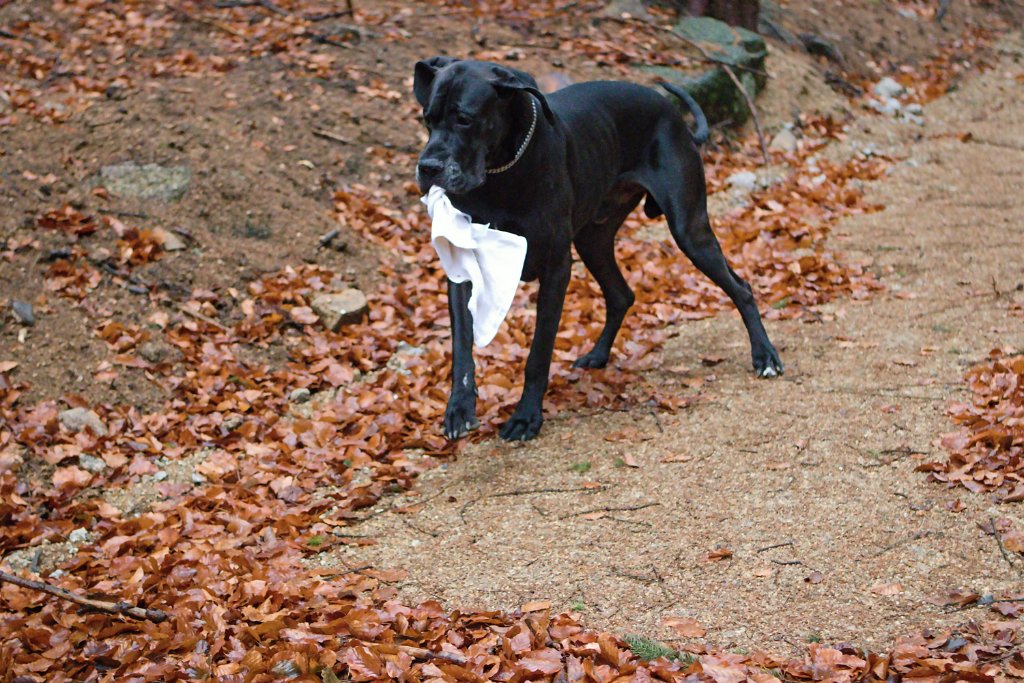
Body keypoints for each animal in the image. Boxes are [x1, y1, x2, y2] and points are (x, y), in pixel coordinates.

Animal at [411, 58, 778, 444]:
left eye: (464, 119)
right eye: (427, 119)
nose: (428, 168)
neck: (501, 172)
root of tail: (674, 115)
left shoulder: (556, 267)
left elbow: (539, 352)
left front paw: (527, 416)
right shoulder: (462, 263)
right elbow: (462, 346)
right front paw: (459, 408)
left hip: (690, 231)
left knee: (741, 288)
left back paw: (765, 355)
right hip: (593, 240)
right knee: (621, 294)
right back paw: (598, 355)